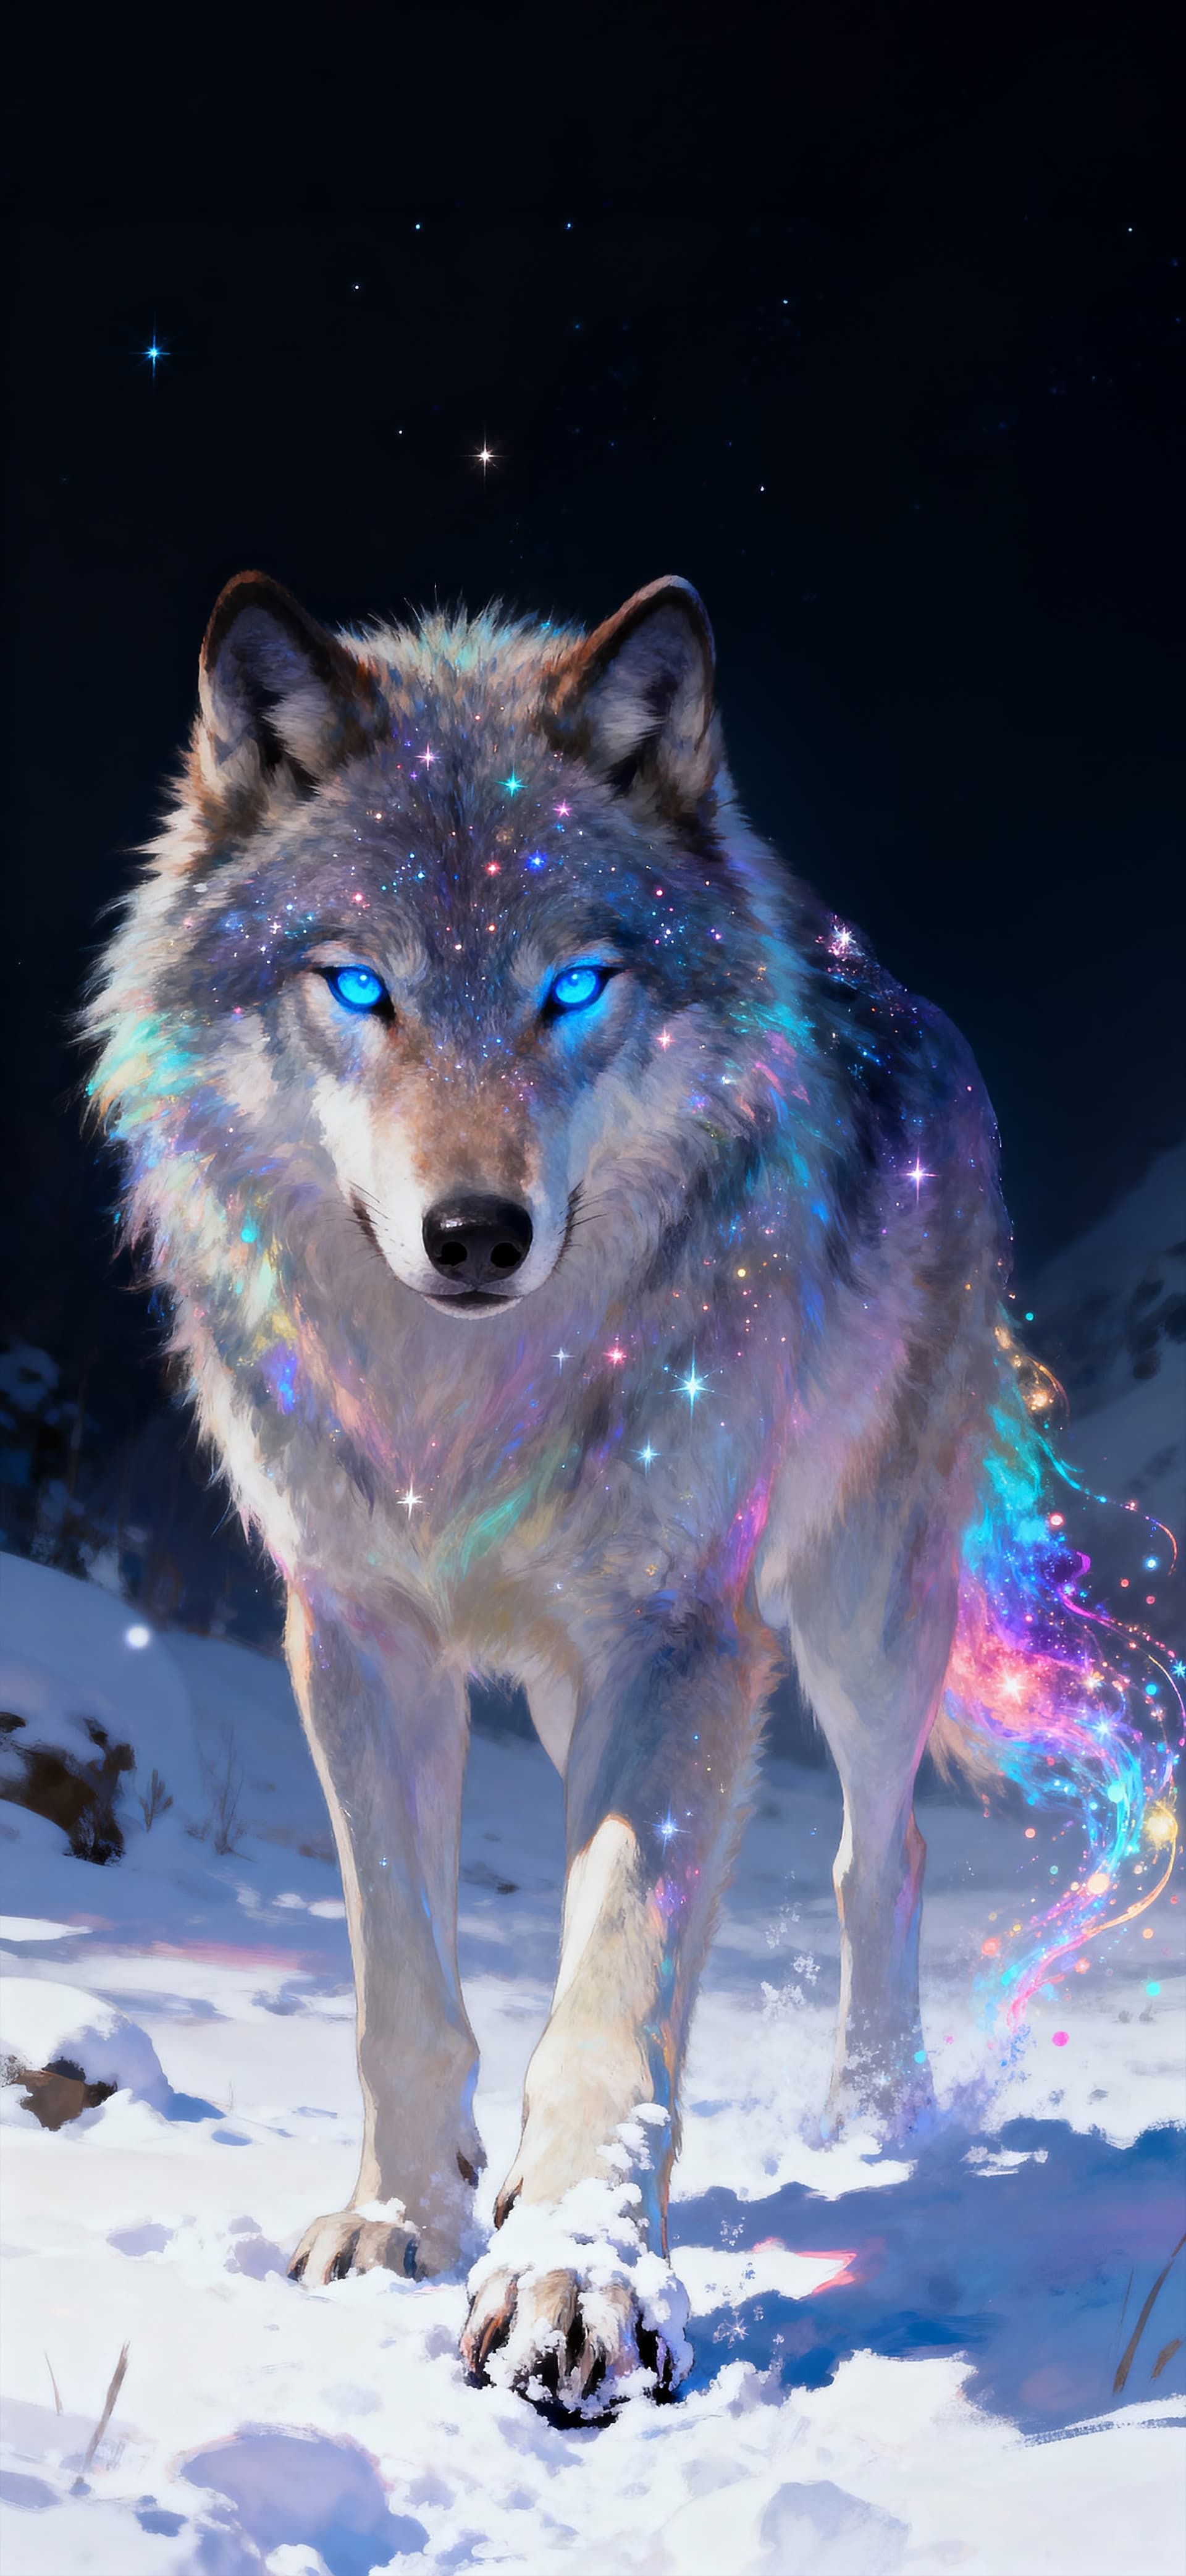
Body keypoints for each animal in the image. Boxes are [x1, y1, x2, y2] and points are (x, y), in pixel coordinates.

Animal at [86, 568, 1127, 2419]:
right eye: (360, 986)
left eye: (573, 986)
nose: (476, 1231)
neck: (463, 1406)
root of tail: (883, 977)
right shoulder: (355, 1634)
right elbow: (402, 1979)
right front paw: (397, 2219)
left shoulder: (680, 1639)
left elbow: (614, 1990)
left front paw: (576, 2278)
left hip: (858, 1616)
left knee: (883, 1853)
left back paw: (875, 2118)